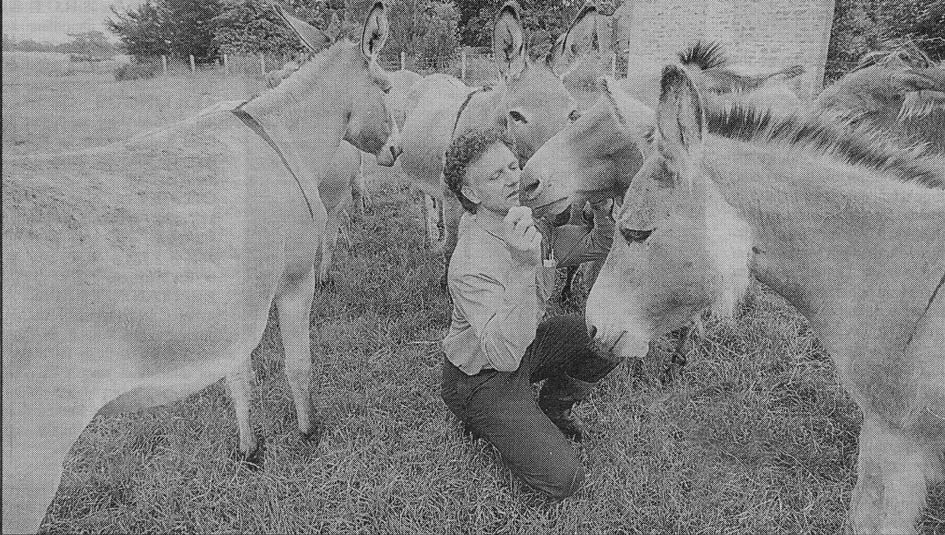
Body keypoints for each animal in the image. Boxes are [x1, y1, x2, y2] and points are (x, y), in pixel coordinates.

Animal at [2, 3, 398, 532]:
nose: (396, 150)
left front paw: (250, 450)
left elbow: (239, 379)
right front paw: (309, 432)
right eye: (387, 87)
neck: (282, 138)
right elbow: (298, 365)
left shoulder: (233, 312)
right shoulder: (294, 285)